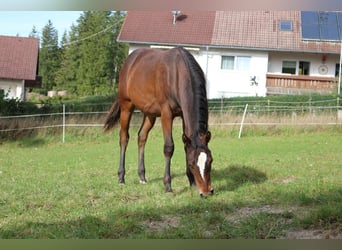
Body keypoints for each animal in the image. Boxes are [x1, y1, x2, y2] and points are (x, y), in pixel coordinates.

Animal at [103, 46, 212, 196]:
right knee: (124, 138)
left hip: (150, 114)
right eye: (192, 164)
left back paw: (142, 176)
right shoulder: (166, 114)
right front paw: (168, 185)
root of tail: (129, 61)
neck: (177, 73)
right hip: (126, 107)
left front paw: (192, 182)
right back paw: (121, 177)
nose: (206, 192)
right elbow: (169, 147)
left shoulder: (184, 115)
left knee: (141, 137)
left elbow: (186, 146)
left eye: (210, 161)